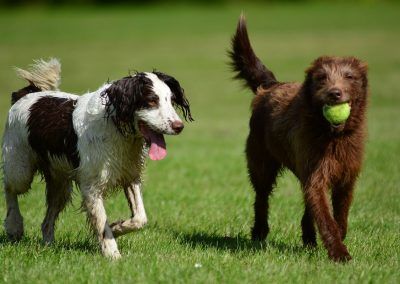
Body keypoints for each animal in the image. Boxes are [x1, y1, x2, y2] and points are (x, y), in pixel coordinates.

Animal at [1, 58, 192, 258]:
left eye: (171, 100)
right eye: (152, 100)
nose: (179, 126)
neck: (116, 128)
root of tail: (26, 94)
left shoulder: (129, 175)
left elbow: (140, 218)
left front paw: (116, 227)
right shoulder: (91, 188)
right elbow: (101, 222)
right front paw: (113, 254)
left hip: (60, 183)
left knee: (46, 221)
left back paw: (48, 245)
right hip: (20, 169)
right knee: (10, 188)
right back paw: (14, 226)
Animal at [230, 16, 368, 262]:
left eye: (349, 76)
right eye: (322, 78)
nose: (335, 93)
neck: (332, 136)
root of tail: (272, 86)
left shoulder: (346, 178)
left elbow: (340, 214)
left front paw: (338, 240)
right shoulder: (316, 175)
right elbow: (326, 217)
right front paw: (339, 253)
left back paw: (308, 238)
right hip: (261, 164)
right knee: (261, 198)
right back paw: (259, 232)